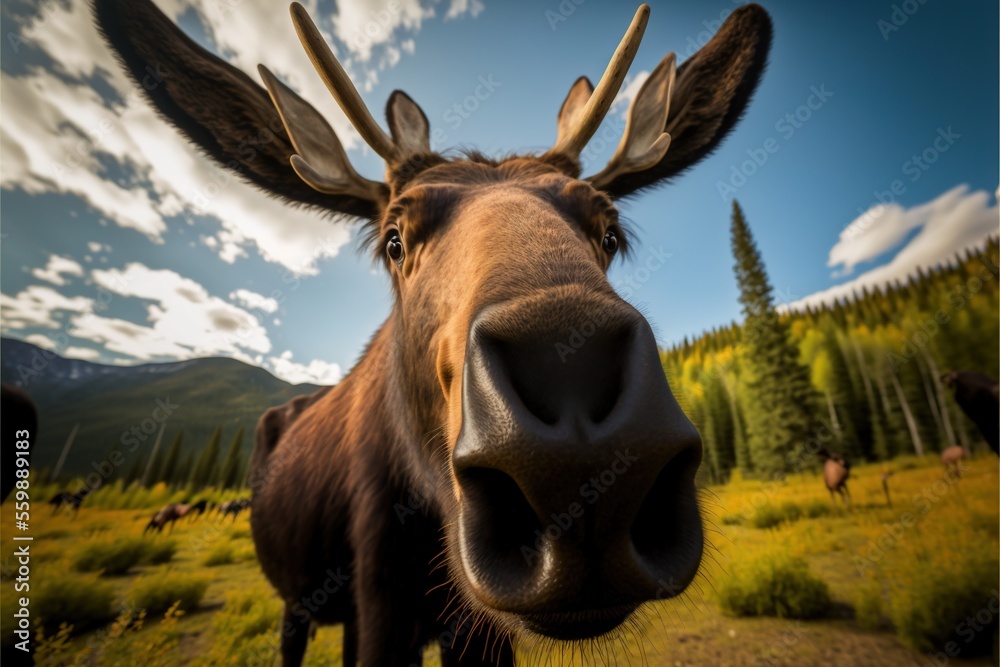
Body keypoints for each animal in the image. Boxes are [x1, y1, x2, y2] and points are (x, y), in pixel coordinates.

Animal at [95, 2, 772, 664]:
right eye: (394, 240)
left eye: (609, 233)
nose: (576, 420)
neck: (428, 536)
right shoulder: (379, 601)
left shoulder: (472, 631)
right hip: (297, 599)